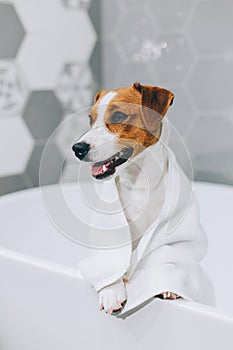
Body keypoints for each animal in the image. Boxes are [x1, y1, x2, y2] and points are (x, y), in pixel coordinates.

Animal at [72, 82, 185, 314]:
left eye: (119, 116)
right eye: (90, 119)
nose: (77, 148)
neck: (138, 184)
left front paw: (167, 284)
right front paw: (111, 290)